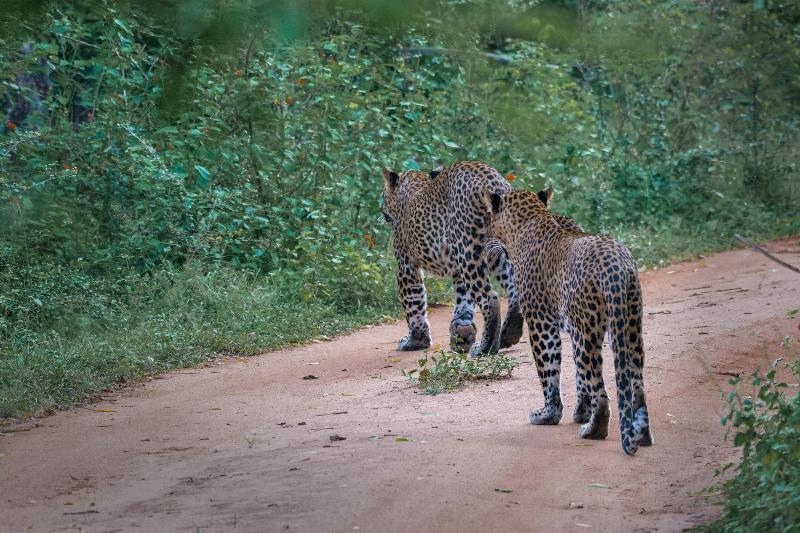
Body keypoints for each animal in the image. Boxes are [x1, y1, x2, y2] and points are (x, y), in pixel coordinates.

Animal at [483, 187, 654, 455]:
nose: (485, 244)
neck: (529, 221)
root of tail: (615, 265)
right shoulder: (574, 329)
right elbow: (579, 378)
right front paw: (581, 411)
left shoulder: (541, 322)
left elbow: (549, 371)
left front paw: (549, 415)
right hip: (630, 326)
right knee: (636, 385)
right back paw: (641, 435)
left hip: (589, 334)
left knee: (601, 390)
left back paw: (593, 430)